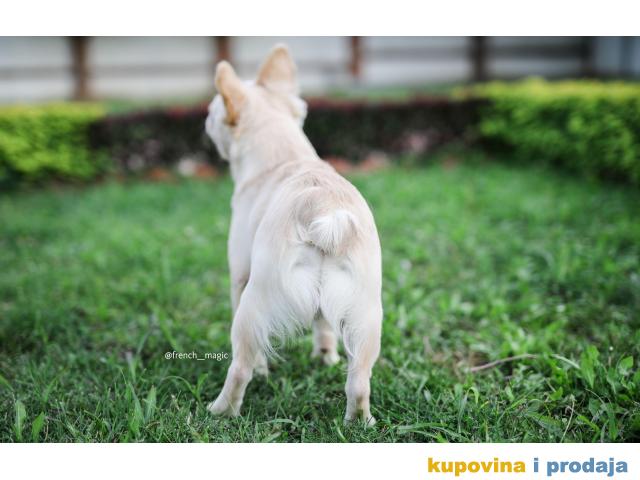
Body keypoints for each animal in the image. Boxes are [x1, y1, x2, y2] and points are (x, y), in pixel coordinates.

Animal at [205, 45, 382, 425]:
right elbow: (323, 325)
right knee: (359, 380)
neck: (284, 157)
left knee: (239, 367)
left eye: (212, 112)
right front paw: (324, 357)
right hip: (366, 317)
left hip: (253, 305)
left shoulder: (239, 277)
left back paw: (221, 411)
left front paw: (262, 371)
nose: (205, 119)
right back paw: (359, 421)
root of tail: (323, 213)